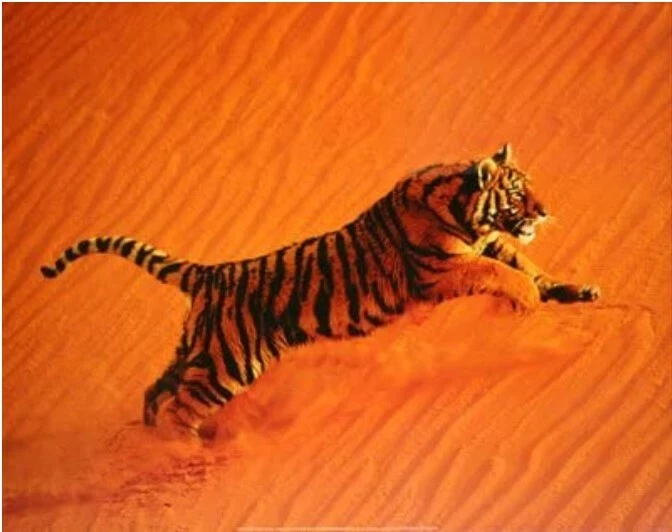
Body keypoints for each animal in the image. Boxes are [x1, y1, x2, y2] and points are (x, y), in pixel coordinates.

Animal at [41, 144, 600, 440]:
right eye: (517, 193)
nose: (546, 211)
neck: (465, 211)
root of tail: (211, 273)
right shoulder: (441, 271)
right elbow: (503, 273)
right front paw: (527, 301)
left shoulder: (491, 244)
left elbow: (526, 264)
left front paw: (574, 291)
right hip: (228, 364)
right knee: (179, 407)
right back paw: (185, 451)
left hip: (196, 351)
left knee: (156, 393)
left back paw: (156, 440)